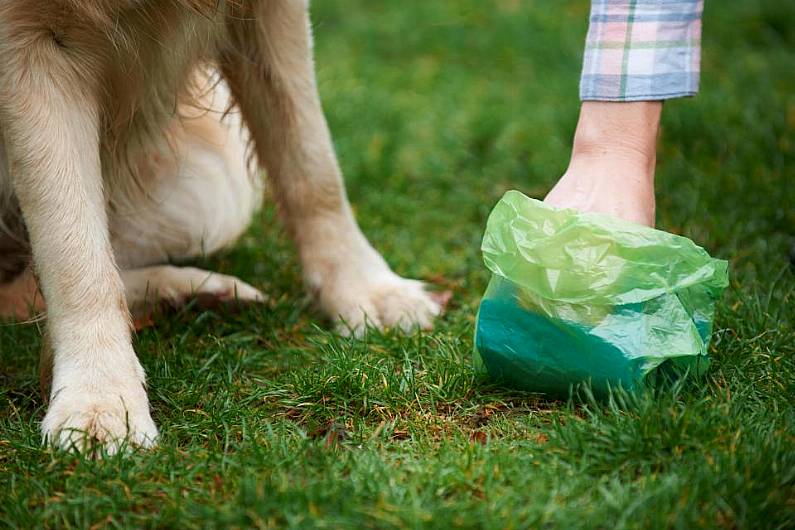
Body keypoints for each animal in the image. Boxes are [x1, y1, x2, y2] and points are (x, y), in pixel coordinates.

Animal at [0, 1, 442, 454]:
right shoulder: (25, 44)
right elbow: (73, 252)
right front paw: (100, 398)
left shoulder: (269, 17)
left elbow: (311, 162)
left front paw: (365, 289)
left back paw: (200, 293)